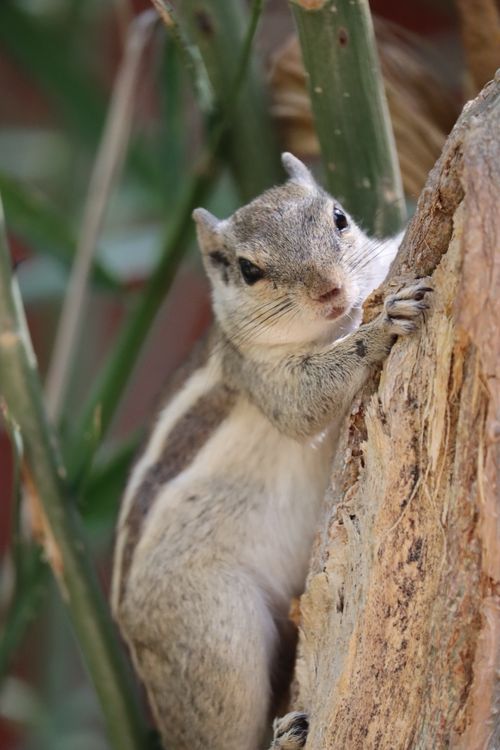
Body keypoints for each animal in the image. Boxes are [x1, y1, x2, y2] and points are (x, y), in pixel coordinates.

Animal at [111, 153, 431, 750]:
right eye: (248, 270)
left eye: (339, 217)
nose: (330, 290)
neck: (332, 324)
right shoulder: (260, 376)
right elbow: (306, 401)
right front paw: (382, 325)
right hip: (214, 633)